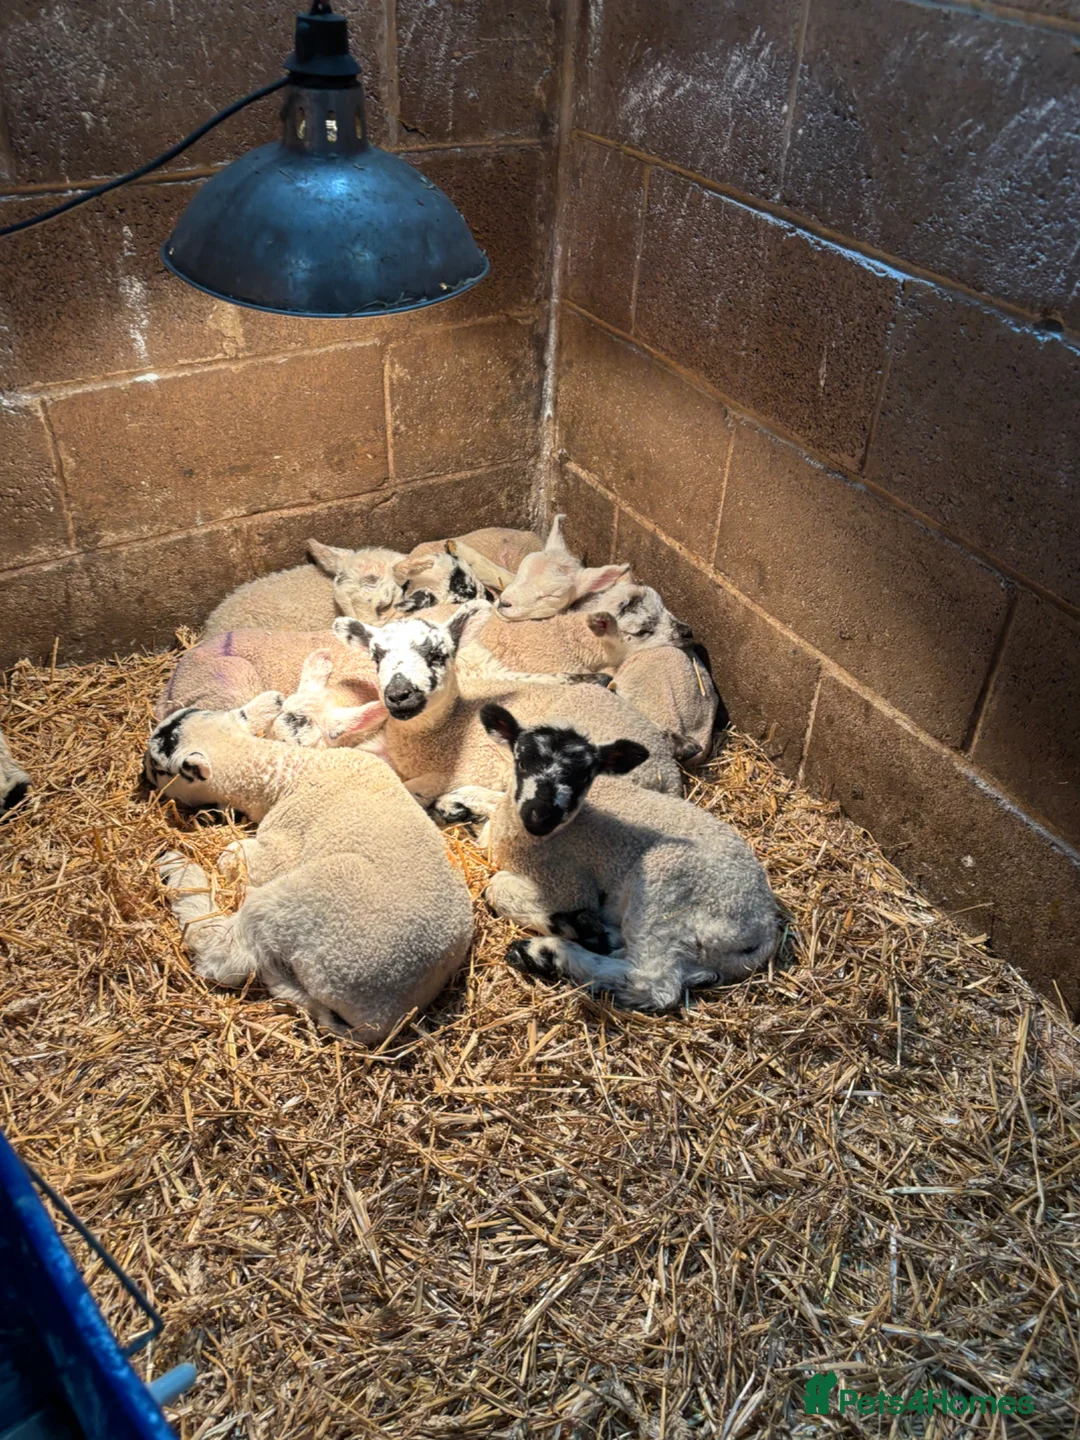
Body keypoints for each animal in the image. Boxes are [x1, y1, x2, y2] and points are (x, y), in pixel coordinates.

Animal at [146, 692, 474, 1042]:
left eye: (158, 767)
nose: (141, 774)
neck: (289, 773)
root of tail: (379, 1019)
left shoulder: (278, 846)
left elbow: (232, 856)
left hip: (297, 905)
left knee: (224, 958)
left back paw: (177, 869)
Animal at [330, 600, 683, 807]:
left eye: (437, 655)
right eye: (376, 657)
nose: (399, 694)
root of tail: (668, 775)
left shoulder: (473, 766)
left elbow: (414, 789)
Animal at [468, 703, 781, 1012]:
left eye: (584, 777)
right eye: (522, 762)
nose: (540, 816)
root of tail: (764, 927)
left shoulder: (568, 884)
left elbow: (496, 887)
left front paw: (569, 924)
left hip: (666, 889)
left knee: (656, 983)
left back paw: (546, 952)